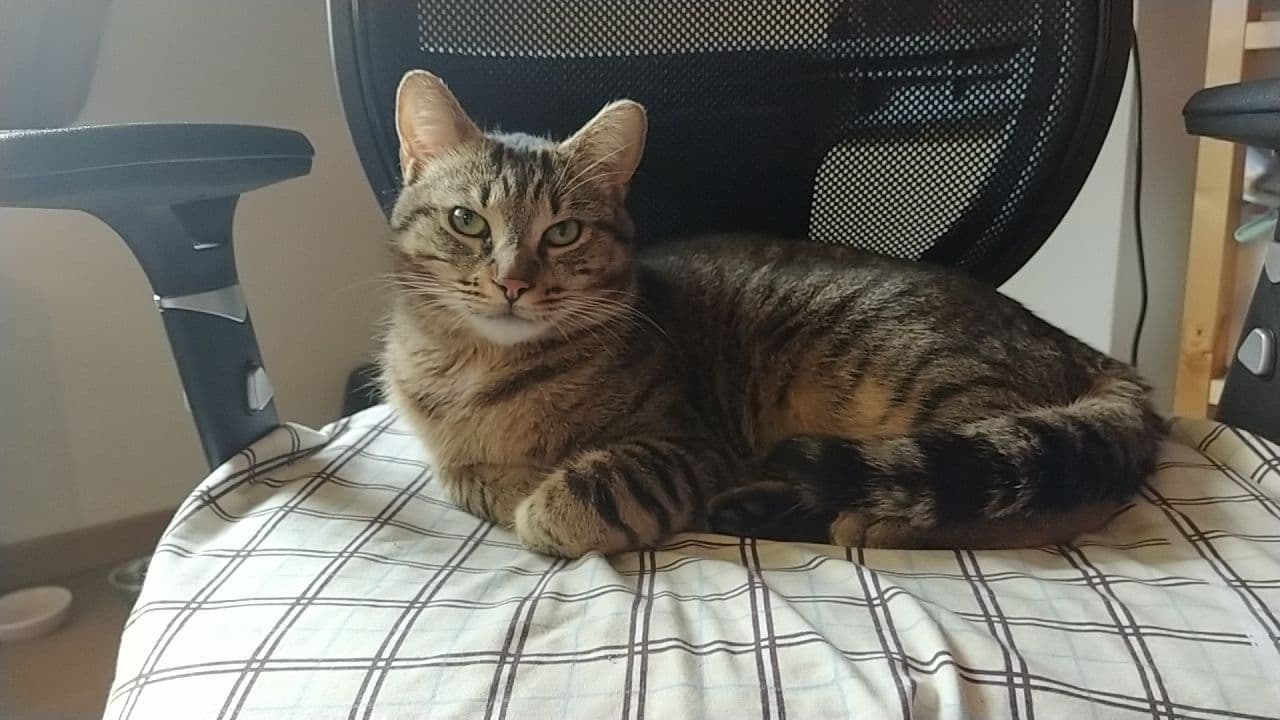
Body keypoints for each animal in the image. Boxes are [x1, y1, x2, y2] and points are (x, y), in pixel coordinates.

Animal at [376, 71, 1162, 556]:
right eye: (467, 222)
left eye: (563, 233)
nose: (512, 281)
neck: (478, 370)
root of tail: (1081, 347)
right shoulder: (451, 457)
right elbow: (464, 478)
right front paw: (505, 481)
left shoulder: (685, 446)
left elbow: (578, 493)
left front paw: (542, 502)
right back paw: (762, 509)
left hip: (936, 385)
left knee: (1061, 499)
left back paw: (867, 522)